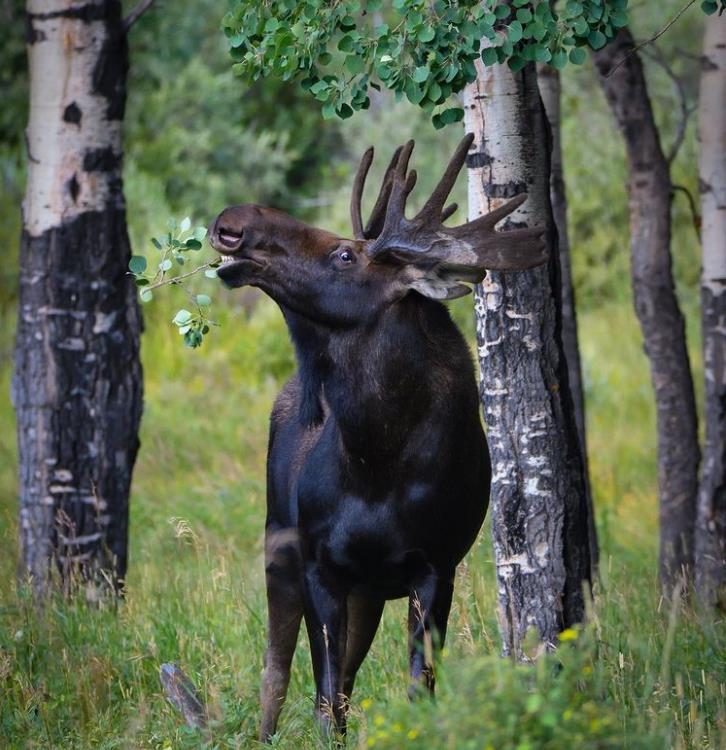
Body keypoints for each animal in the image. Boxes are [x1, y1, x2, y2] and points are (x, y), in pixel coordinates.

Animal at [209, 135, 544, 740]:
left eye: (345, 255)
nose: (234, 220)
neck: (376, 463)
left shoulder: (436, 566)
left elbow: (415, 689)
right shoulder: (320, 566)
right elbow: (325, 702)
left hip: (366, 591)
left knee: (336, 673)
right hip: (277, 540)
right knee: (275, 671)